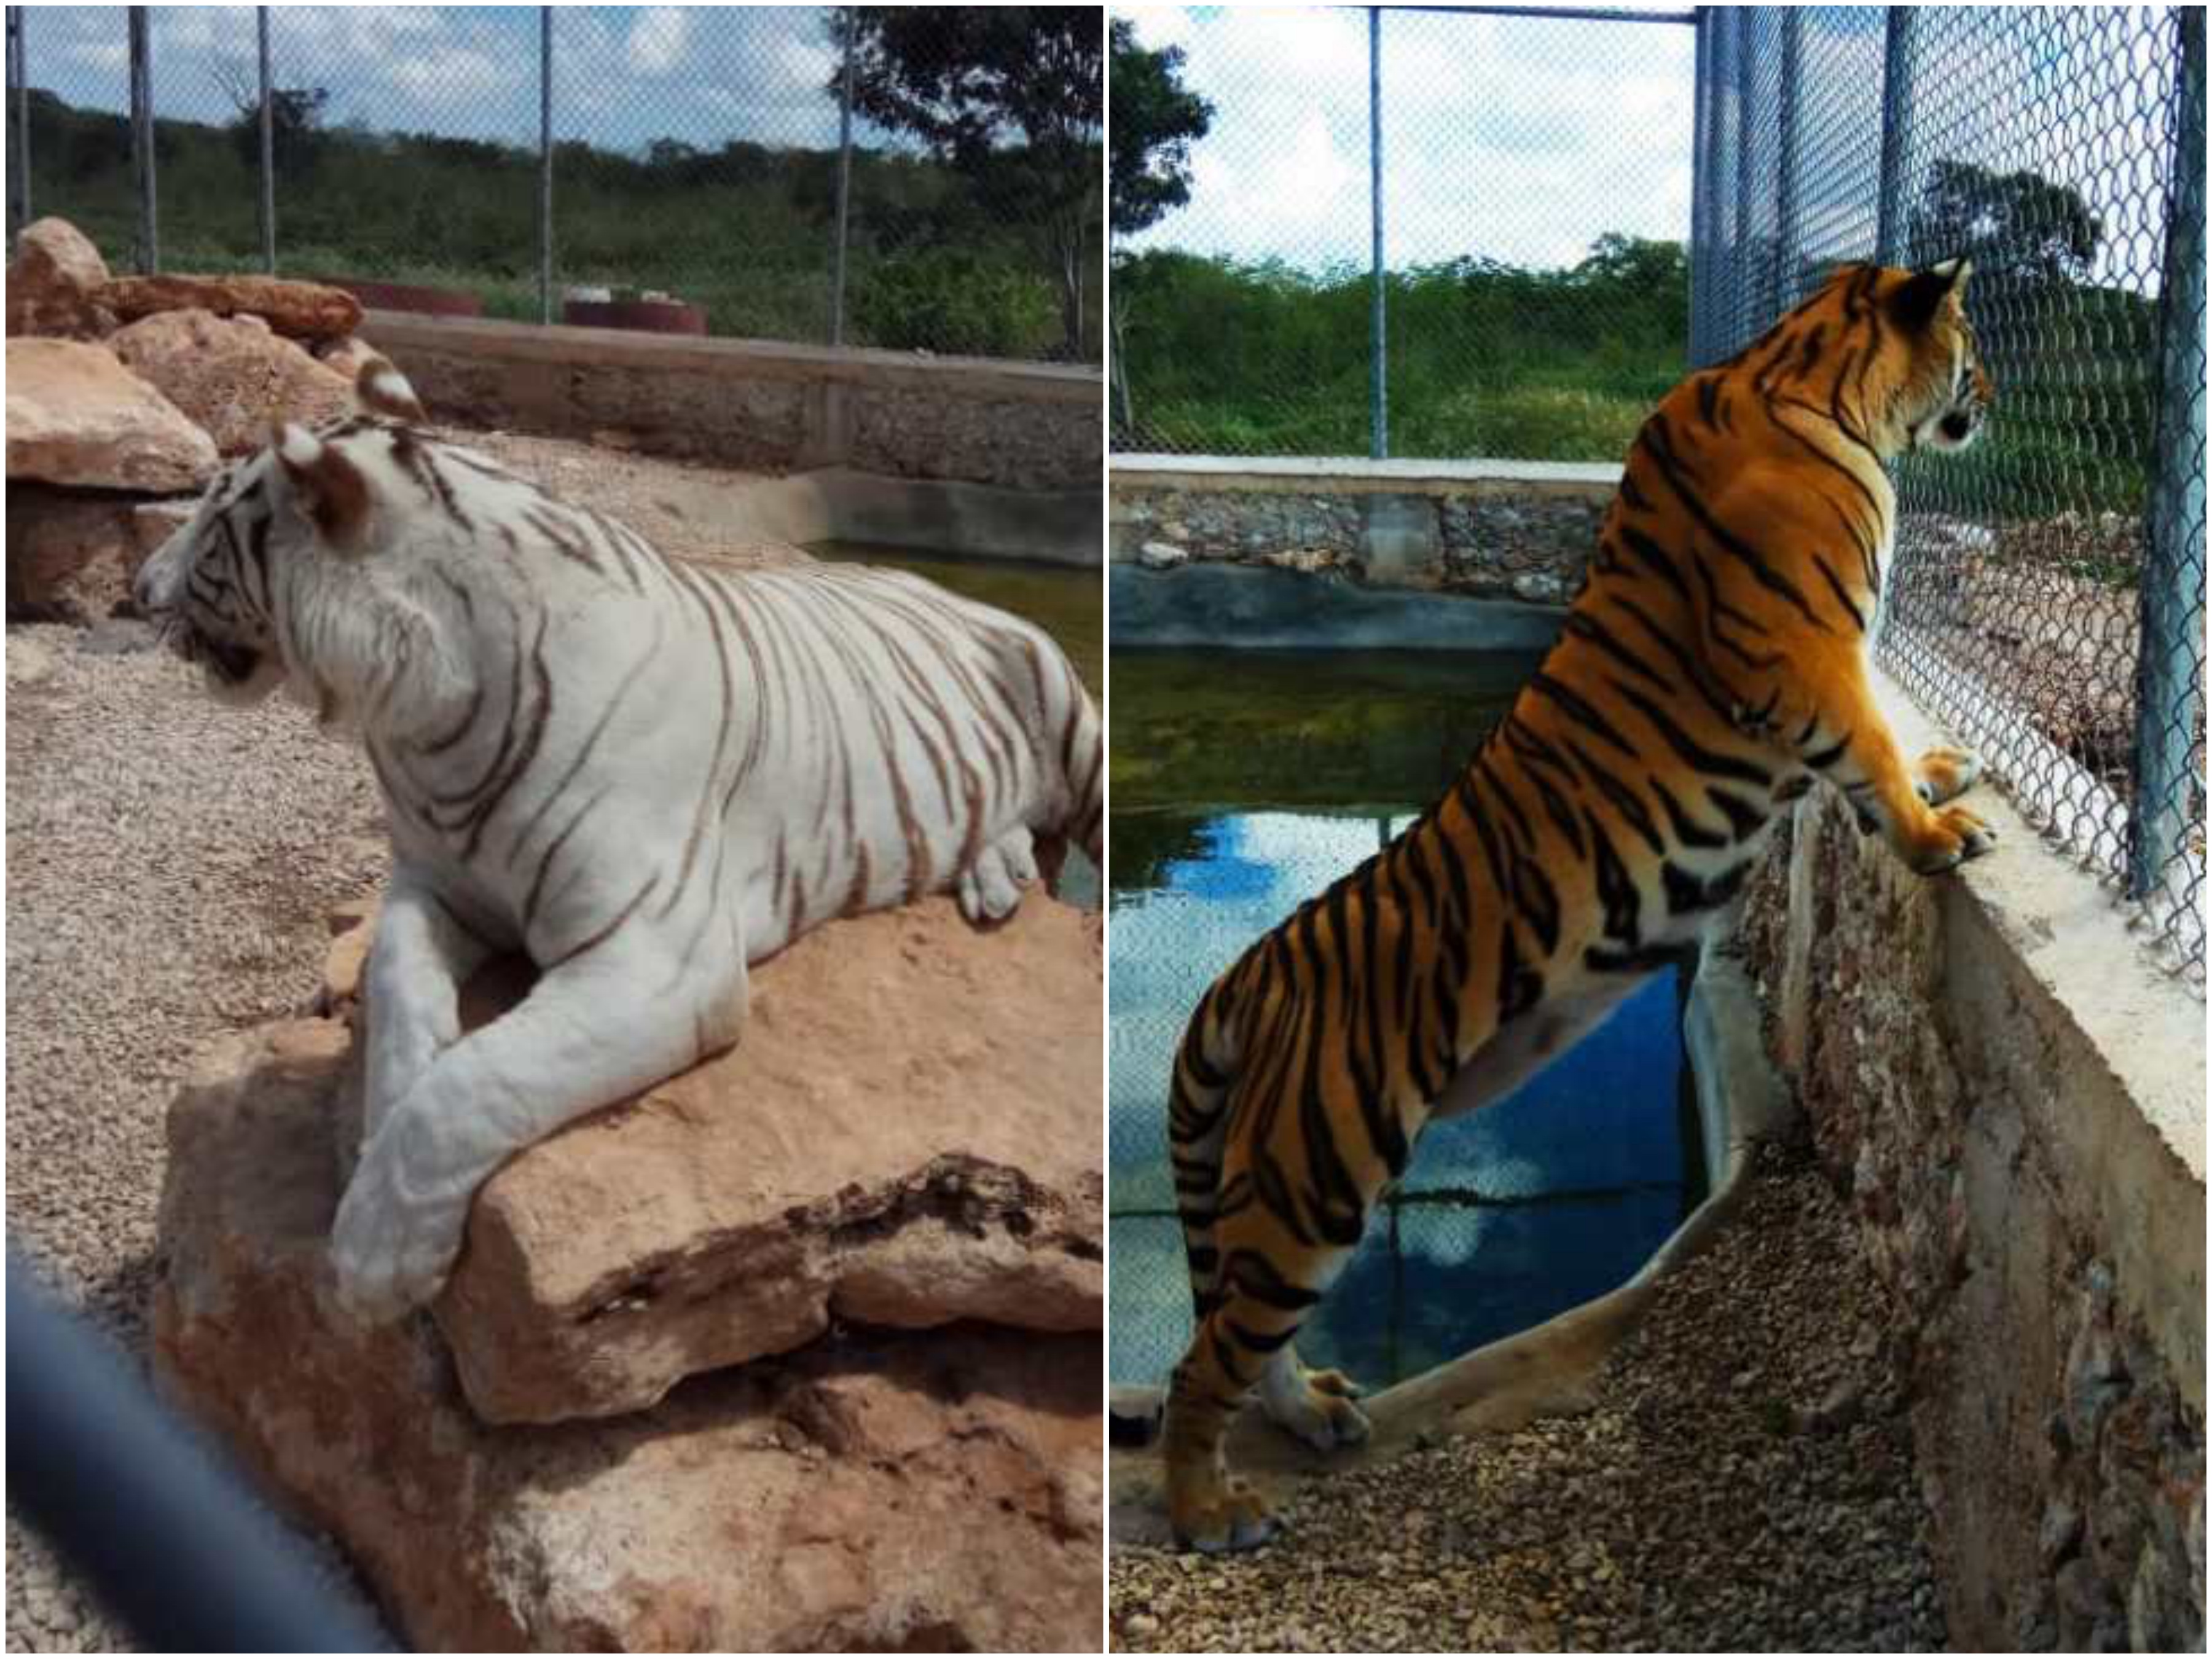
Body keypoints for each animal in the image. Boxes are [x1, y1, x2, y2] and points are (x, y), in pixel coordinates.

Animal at [134, 357, 1103, 1321]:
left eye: (212, 521)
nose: (136, 591)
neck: (420, 721)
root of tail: (932, 584)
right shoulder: (432, 882)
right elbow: (399, 983)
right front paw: (380, 1122)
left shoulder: (657, 958)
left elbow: (478, 1079)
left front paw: (376, 1262)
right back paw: (993, 874)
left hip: (1070, 706)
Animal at [1152, 258, 1997, 1551]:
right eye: (1973, 342)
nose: (1992, 395)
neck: (1813, 375)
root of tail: (1251, 972)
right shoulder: (1807, 656)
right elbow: (1866, 749)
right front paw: (1935, 829)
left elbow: (1875, 757)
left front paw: (1944, 774)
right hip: (1317, 1174)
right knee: (1199, 1364)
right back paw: (1210, 1509)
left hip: (1291, 1191)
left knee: (1239, 1337)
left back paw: (1317, 1418)